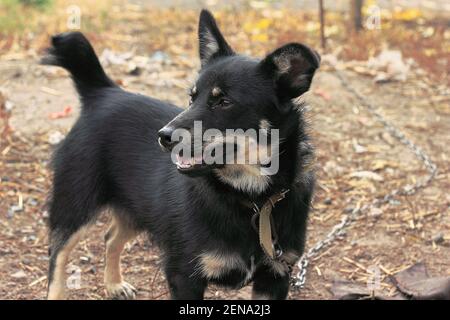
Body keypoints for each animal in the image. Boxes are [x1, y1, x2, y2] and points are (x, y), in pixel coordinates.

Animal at [44, 10, 320, 300]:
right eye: (191, 98)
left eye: (224, 102)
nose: (164, 136)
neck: (251, 197)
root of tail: (102, 91)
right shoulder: (184, 275)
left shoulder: (275, 276)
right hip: (75, 206)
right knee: (57, 258)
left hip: (135, 208)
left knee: (110, 237)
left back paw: (114, 284)